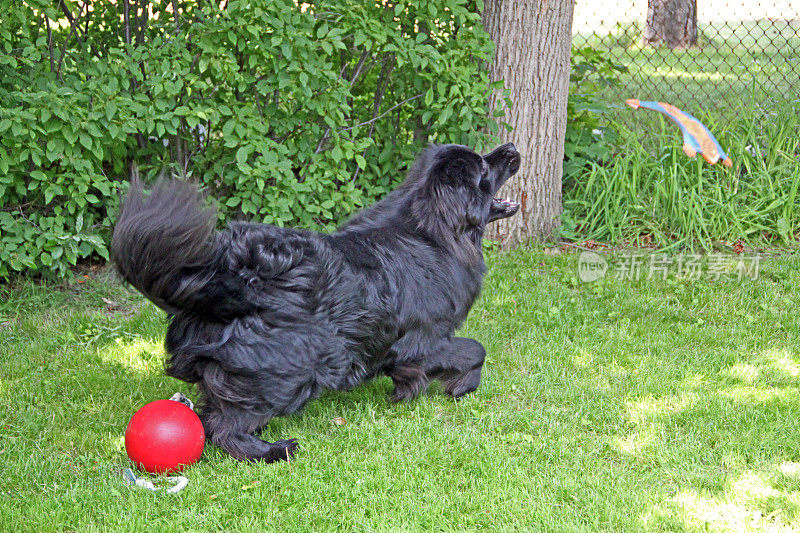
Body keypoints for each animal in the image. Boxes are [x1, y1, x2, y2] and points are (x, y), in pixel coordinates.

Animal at [114, 142, 524, 462]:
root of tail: (230, 279)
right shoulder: (423, 340)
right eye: (483, 168)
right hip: (288, 369)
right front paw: (460, 386)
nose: (512, 148)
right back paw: (273, 450)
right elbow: (474, 349)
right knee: (222, 426)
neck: (433, 230)